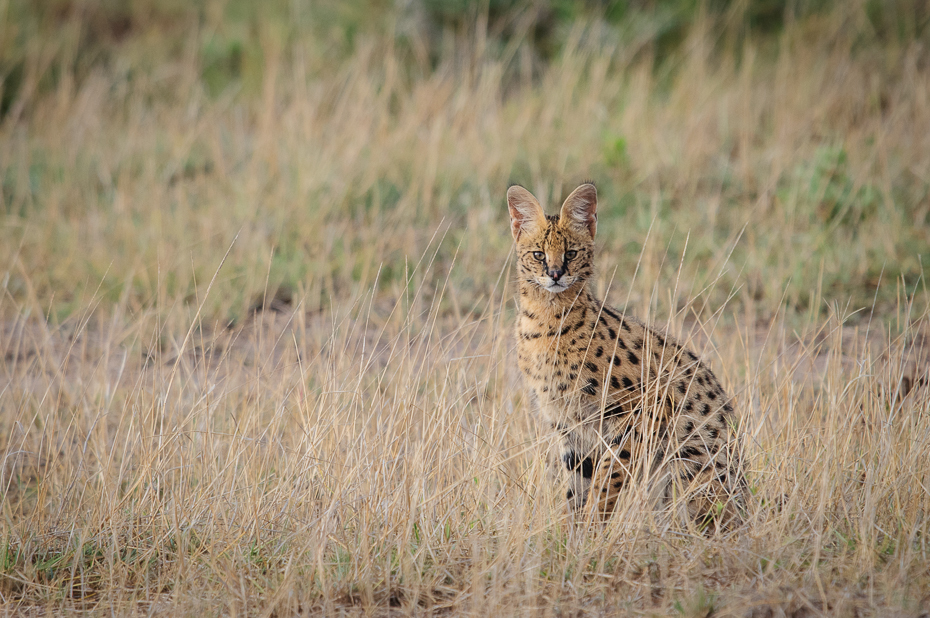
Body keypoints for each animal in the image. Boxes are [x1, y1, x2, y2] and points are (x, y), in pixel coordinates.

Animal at [504, 180, 744, 528]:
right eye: (538, 254)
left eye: (571, 253)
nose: (555, 274)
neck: (546, 321)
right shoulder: (570, 427)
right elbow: (576, 490)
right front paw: (571, 535)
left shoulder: (642, 411)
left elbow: (608, 479)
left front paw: (592, 529)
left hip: (690, 460)